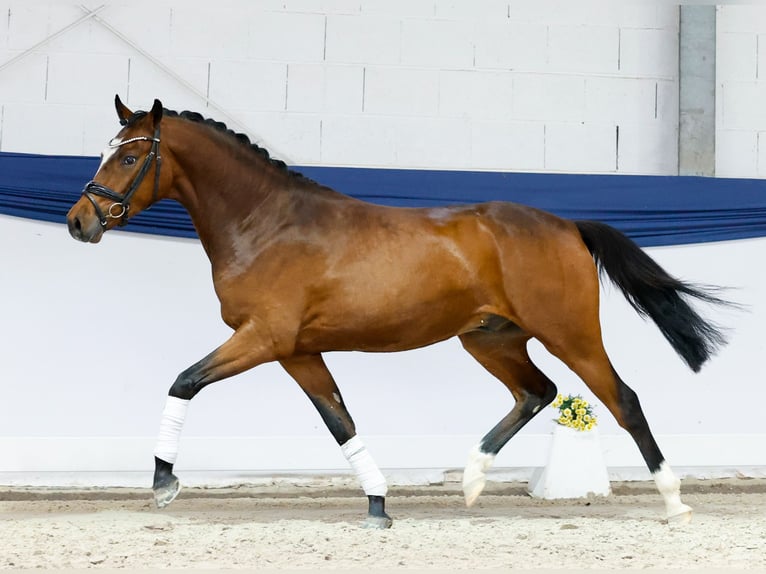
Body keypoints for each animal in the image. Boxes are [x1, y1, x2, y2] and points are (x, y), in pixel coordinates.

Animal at [66, 96, 729, 528]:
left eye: (129, 159)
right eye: (105, 152)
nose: (80, 222)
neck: (267, 223)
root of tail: (567, 225)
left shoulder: (263, 339)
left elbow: (184, 381)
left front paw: (163, 484)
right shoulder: (298, 351)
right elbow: (340, 421)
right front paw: (379, 504)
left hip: (570, 333)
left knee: (622, 399)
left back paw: (675, 501)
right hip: (490, 339)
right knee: (536, 392)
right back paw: (471, 481)